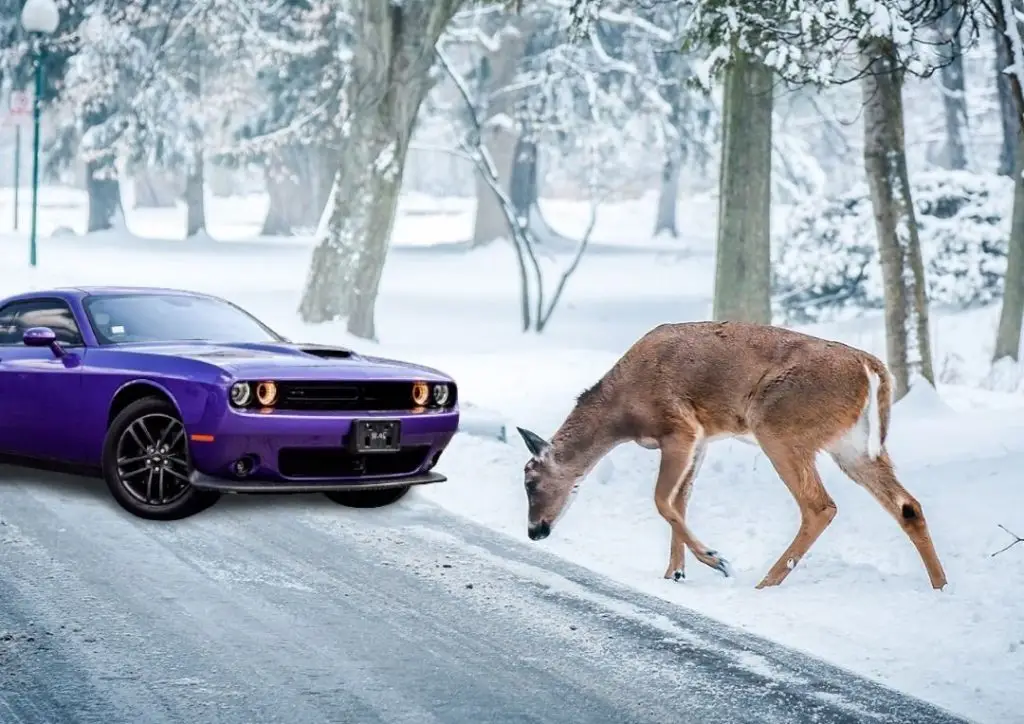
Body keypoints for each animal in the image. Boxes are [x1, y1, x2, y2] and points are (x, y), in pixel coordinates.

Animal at [515, 321, 948, 590]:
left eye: (530, 481)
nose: (535, 531)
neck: (622, 412)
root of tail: (870, 367)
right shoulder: (703, 438)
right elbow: (680, 501)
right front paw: (675, 573)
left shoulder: (681, 426)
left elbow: (661, 500)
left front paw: (715, 559)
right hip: (852, 445)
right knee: (907, 506)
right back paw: (940, 586)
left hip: (778, 425)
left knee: (819, 505)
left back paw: (764, 582)